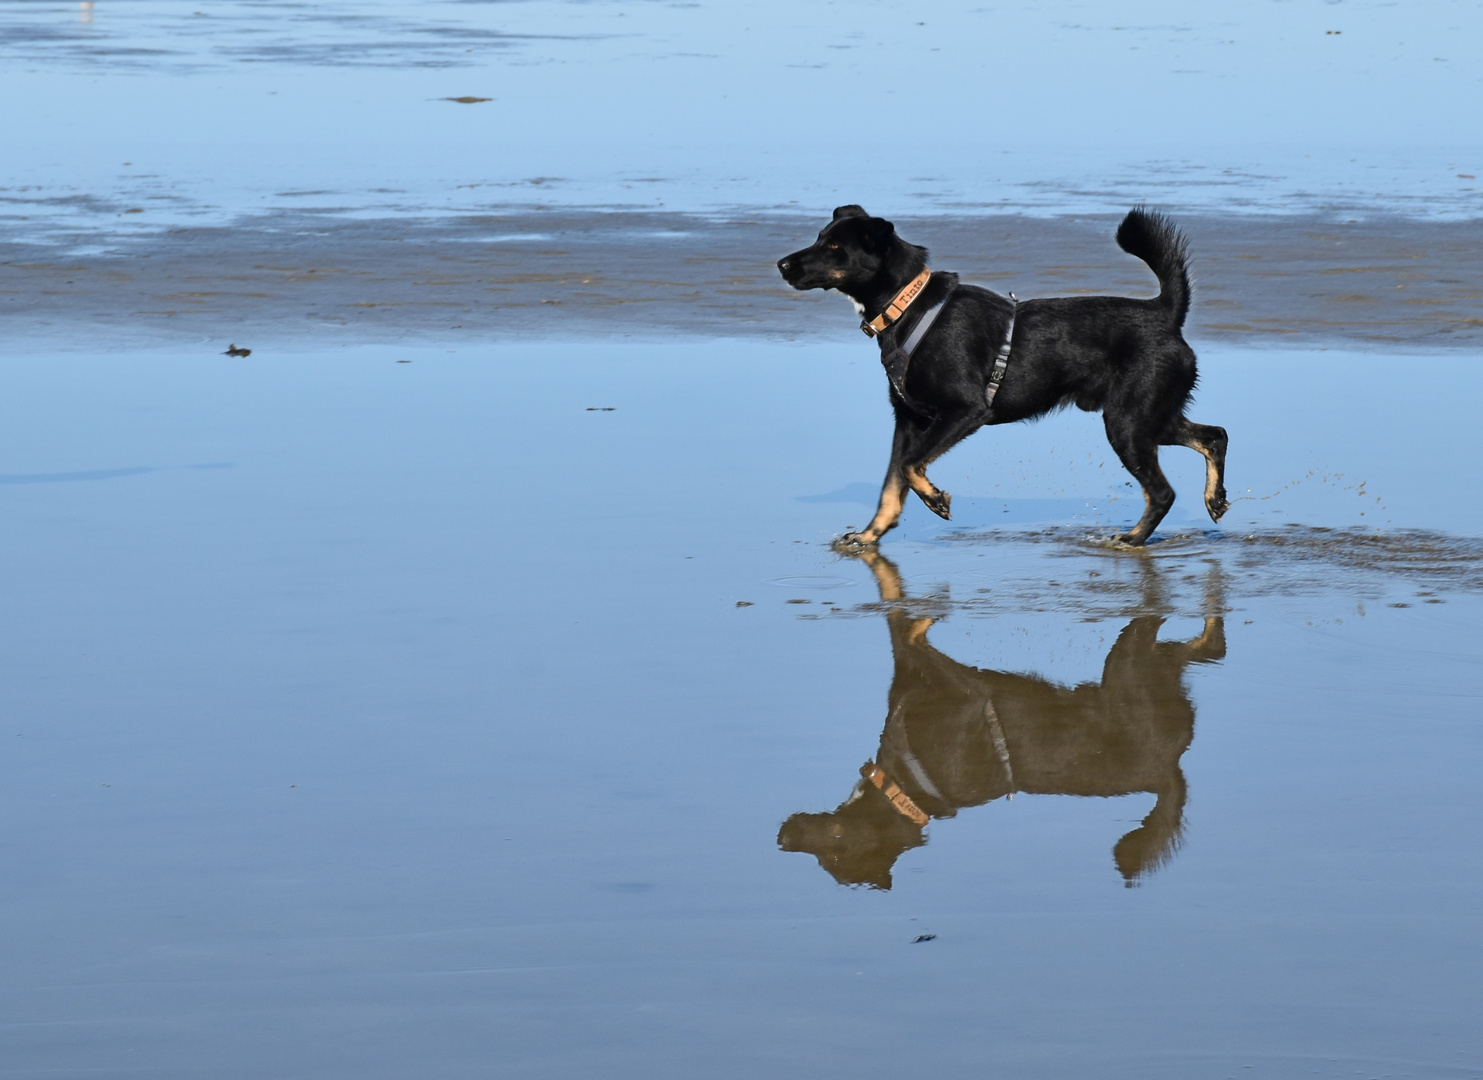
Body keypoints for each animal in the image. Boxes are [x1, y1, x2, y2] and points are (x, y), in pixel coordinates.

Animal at [777, 209, 1227, 548]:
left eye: (835, 247)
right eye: (820, 238)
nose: (781, 264)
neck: (909, 306)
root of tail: (1165, 313)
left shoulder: (962, 410)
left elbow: (908, 466)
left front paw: (935, 499)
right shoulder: (908, 420)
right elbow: (892, 482)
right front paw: (870, 535)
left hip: (1128, 423)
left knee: (1164, 491)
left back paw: (1133, 539)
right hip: (1149, 417)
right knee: (1214, 436)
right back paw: (1214, 499)